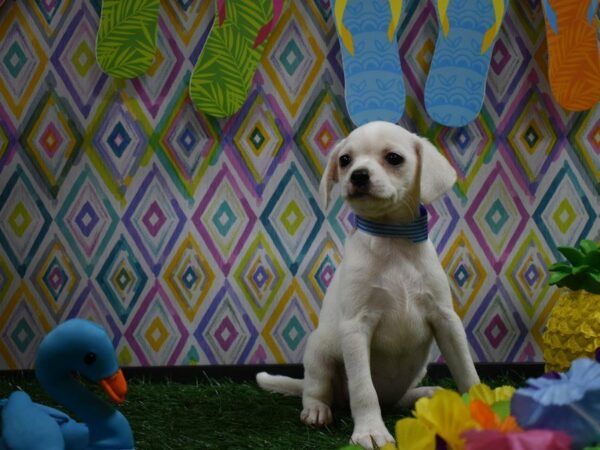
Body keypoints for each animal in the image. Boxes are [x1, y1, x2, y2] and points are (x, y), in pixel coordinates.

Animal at [255, 121, 480, 448]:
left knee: (398, 399)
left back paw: (426, 395)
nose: (358, 175)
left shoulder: (446, 319)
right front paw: (370, 431)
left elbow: (467, 371)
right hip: (319, 352)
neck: (393, 240)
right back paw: (317, 411)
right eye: (345, 160)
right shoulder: (356, 327)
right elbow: (364, 389)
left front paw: (483, 410)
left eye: (394, 158)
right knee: (317, 390)